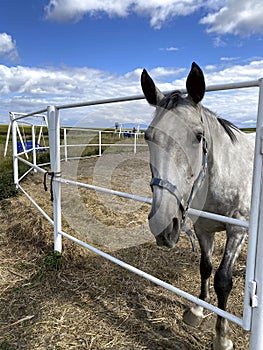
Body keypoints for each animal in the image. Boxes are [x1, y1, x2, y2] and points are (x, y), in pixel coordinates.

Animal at [142, 63, 256, 350]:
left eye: (198, 136)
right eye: (148, 137)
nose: (162, 223)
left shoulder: (237, 231)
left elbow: (223, 280)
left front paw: (222, 337)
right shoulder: (203, 229)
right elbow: (205, 268)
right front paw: (197, 310)